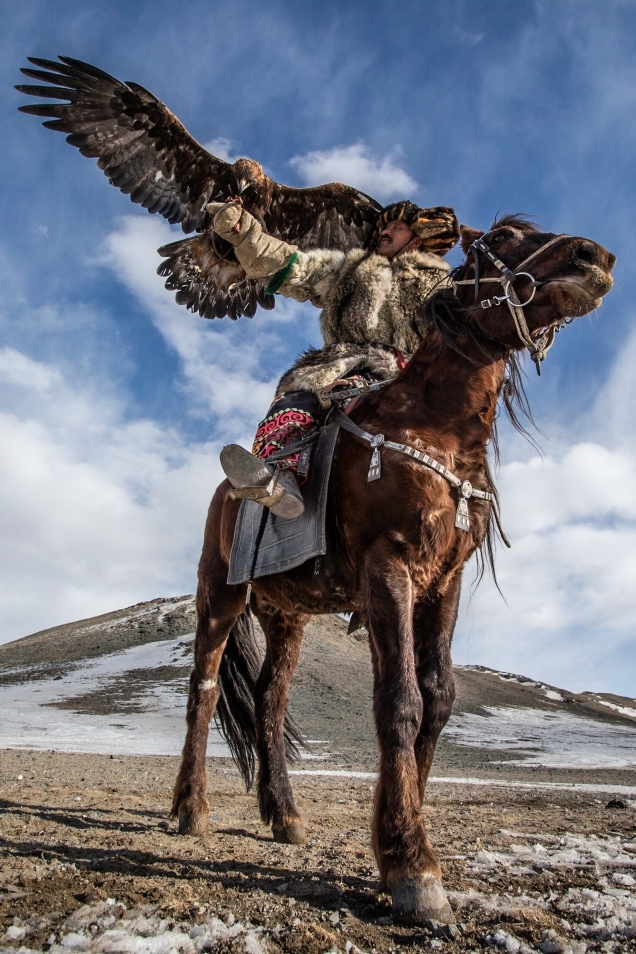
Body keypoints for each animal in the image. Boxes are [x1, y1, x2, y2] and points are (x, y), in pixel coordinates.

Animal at [171, 218, 612, 924]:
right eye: (505, 235)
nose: (592, 257)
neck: (438, 430)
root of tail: (226, 491)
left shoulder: (443, 583)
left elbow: (439, 698)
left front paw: (391, 850)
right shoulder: (389, 568)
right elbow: (400, 700)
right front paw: (412, 866)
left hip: (287, 614)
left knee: (269, 700)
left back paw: (285, 814)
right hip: (221, 593)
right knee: (204, 691)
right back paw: (191, 808)